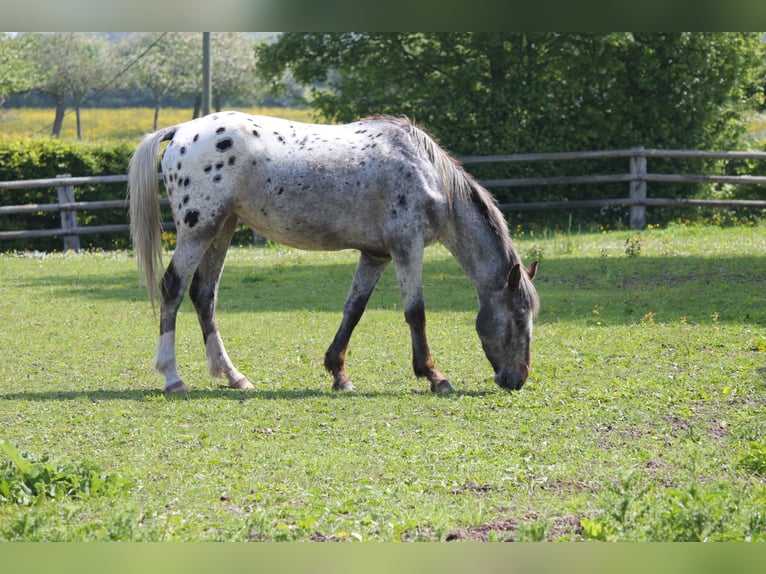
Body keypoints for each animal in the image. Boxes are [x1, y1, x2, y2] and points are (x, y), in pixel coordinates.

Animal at [129, 110, 540, 394]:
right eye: (520, 319)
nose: (517, 379)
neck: (427, 172)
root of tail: (180, 131)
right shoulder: (407, 248)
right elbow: (416, 314)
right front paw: (434, 376)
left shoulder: (376, 255)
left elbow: (353, 311)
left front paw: (338, 373)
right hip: (198, 231)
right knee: (173, 289)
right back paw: (173, 377)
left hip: (222, 229)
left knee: (204, 295)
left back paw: (233, 376)